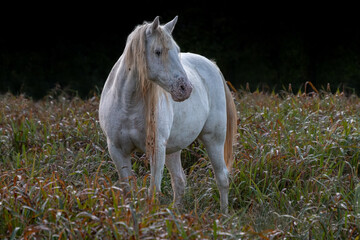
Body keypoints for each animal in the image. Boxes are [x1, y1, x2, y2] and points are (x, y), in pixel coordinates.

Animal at [100, 15, 238, 213]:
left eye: (177, 50)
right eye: (158, 52)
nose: (185, 88)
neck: (128, 103)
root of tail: (211, 65)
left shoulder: (156, 148)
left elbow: (153, 191)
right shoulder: (117, 150)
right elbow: (128, 190)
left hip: (213, 139)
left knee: (222, 178)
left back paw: (223, 214)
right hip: (173, 149)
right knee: (179, 182)